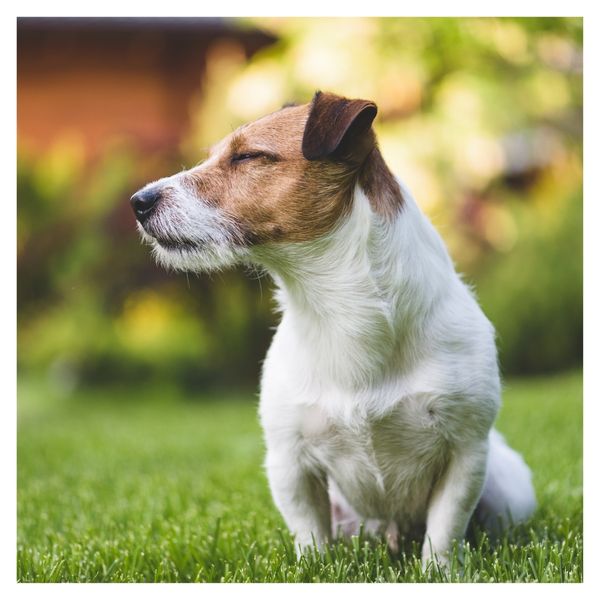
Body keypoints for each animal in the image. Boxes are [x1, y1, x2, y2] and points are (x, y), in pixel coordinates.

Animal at [130, 90, 536, 568]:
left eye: (248, 156)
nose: (138, 202)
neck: (340, 308)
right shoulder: (289, 461)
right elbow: (309, 533)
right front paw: (313, 569)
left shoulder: (465, 452)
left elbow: (445, 529)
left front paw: (439, 572)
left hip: (507, 485)